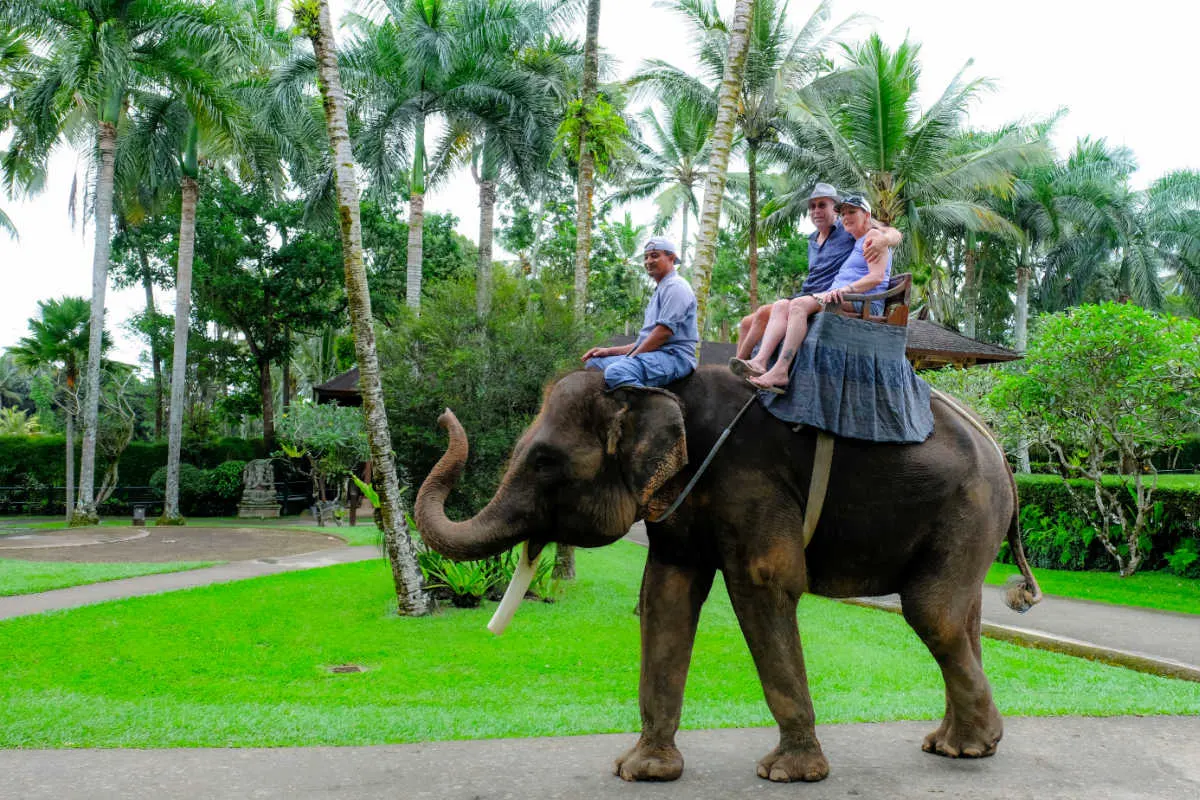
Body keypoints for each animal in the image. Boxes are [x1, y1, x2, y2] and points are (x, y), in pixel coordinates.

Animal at [415, 366, 1042, 783]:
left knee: (931, 612)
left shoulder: (749, 480)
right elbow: (665, 592)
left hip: (969, 507)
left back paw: (977, 744)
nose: (441, 413)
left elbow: (764, 584)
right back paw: (957, 747)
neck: (658, 389)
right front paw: (641, 771)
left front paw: (788, 775)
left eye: (545, 461)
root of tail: (999, 447)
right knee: (961, 617)